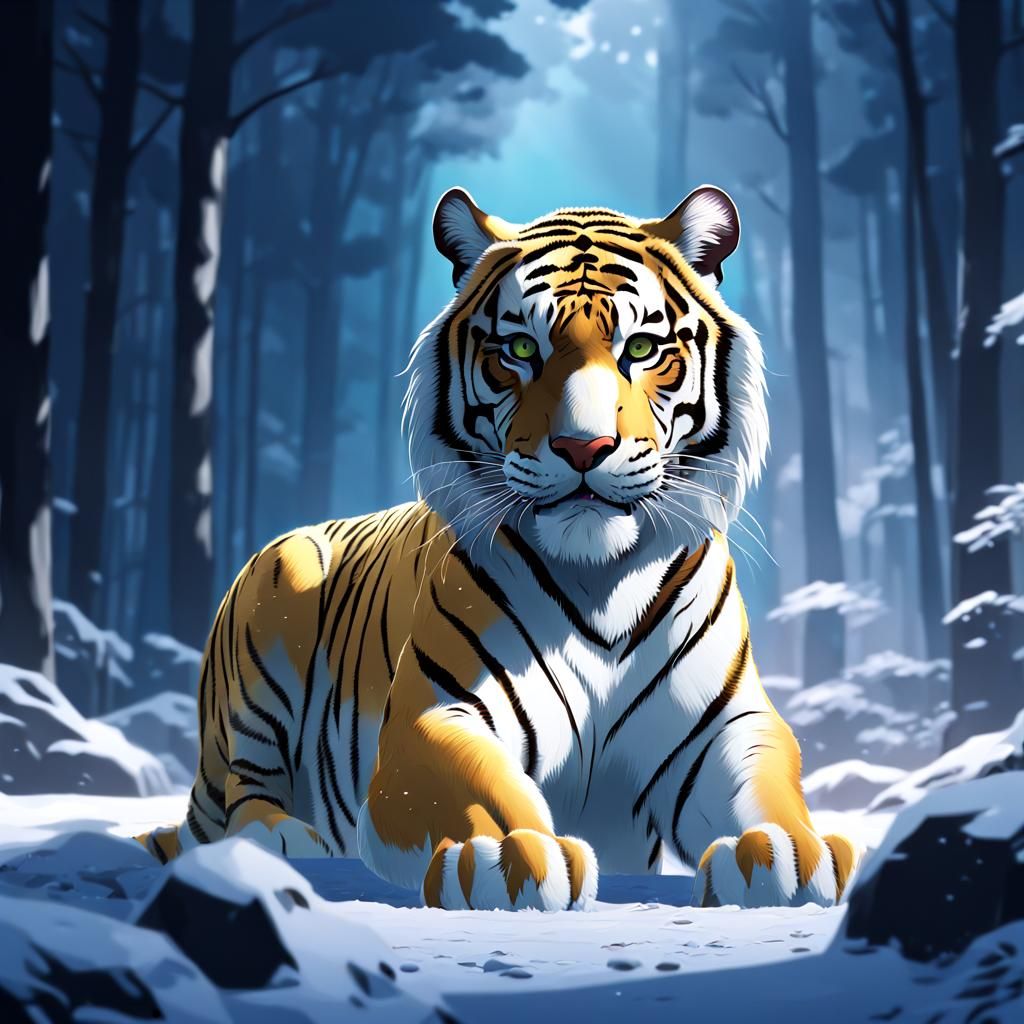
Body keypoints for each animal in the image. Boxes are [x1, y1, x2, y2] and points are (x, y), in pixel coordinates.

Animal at [139, 185, 861, 911]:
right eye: (518, 347)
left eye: (642, 347)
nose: (583, 448)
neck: (601, 580)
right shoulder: (431, 721)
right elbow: (488, 787)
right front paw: (513, 853)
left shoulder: (726, 724)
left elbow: (764, 785)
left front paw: (786, 852)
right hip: (274, 602)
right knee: (243, 790)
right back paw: (283, 838)